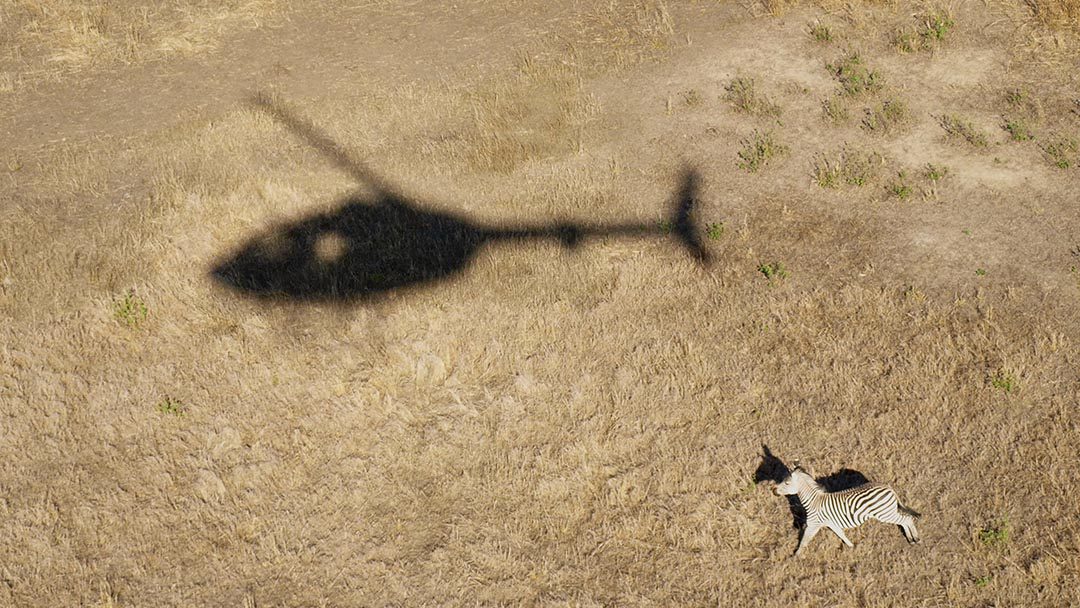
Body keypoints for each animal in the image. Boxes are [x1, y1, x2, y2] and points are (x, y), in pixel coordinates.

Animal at [777, 462, 920, 557]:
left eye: (787, 483)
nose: (773, 490)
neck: (813, 502)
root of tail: (888, 487)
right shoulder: (830, 523)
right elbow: (841, 534)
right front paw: (852, 547)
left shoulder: (813, 525)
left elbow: (804, 541)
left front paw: (795, 556)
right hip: (888, 511)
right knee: (905, 519)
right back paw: (913, 538)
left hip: (884, 513)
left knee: (906, 519)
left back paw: (913, 539)